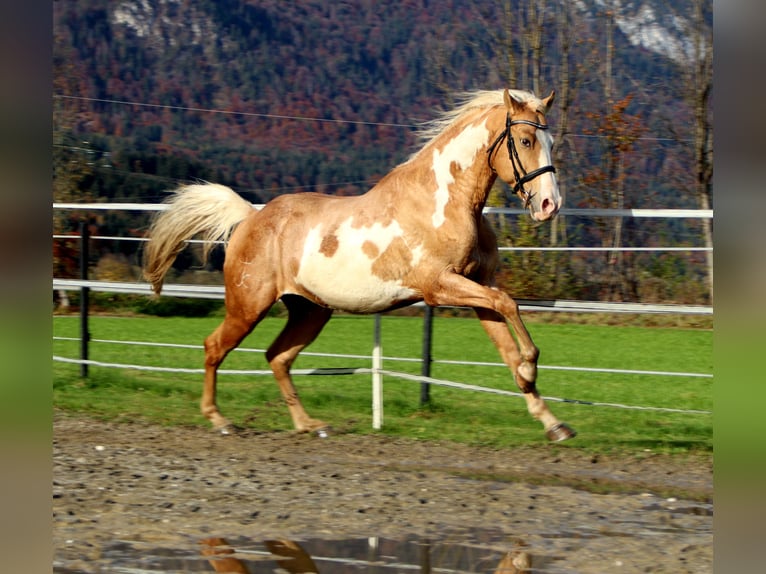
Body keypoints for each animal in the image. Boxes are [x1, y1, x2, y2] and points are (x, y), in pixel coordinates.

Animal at [143, 88, 576, 442]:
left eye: (551, 140)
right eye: (525, 140)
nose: (549, 205)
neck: (444, 203)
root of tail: (251, 216)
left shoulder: (474, 286)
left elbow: (506, 340)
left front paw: (553, 423)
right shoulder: (439, 287)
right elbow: (508, 304)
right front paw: (531, 368)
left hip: (310, 311)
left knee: (277, 357)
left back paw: (309, 425)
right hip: (248, 304)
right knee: (215, 347)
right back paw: (220, 420)